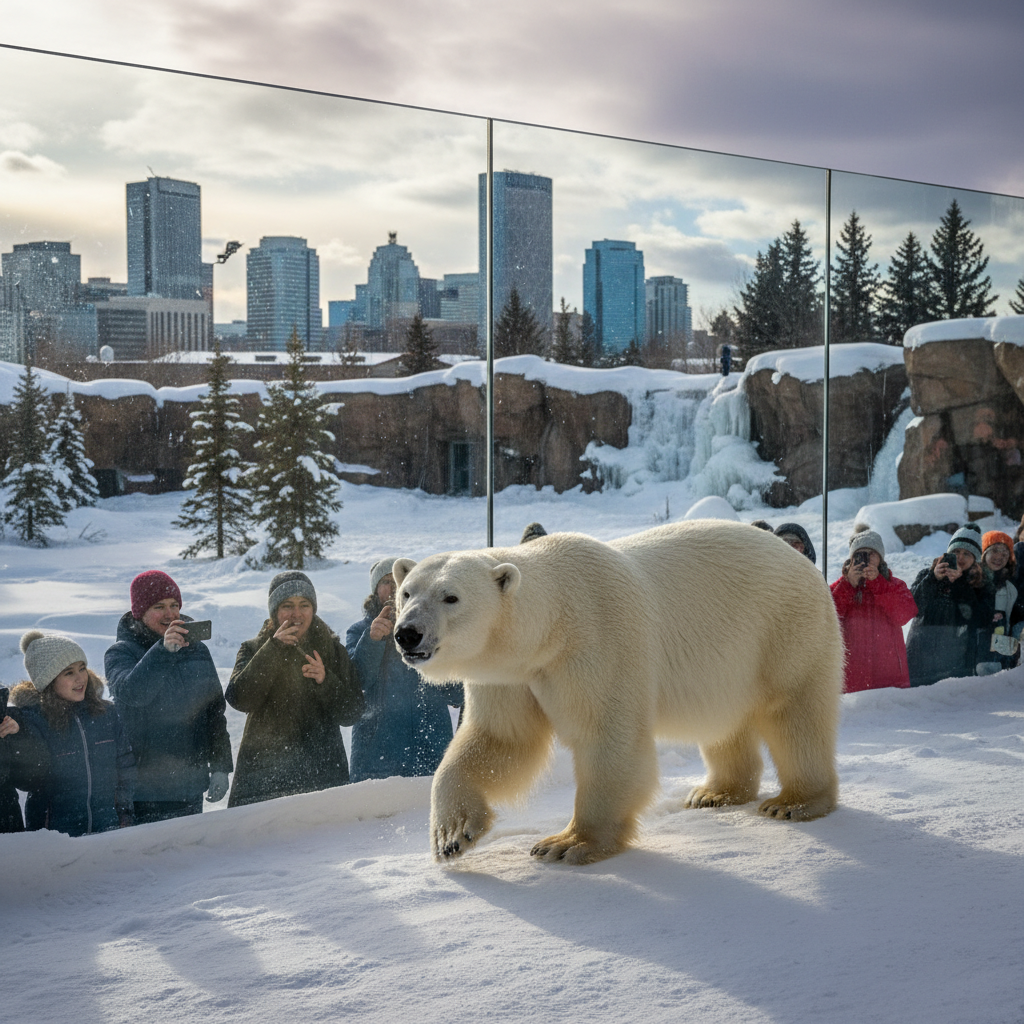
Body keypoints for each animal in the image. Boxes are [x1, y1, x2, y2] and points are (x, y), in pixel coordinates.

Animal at [392, 519, 843, 865]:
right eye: (407, 592)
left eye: (451, 597)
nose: (406, 633)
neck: (553, 622)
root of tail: (806, 564)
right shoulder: (511, 675)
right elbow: (502, 740)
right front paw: (451, 835)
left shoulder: (597, 642)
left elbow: (607, 736)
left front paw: (568, 843)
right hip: (734, 664)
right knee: (724, 723)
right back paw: (714, 793)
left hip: (786, 632)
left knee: (794, 714)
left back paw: (794, 801)